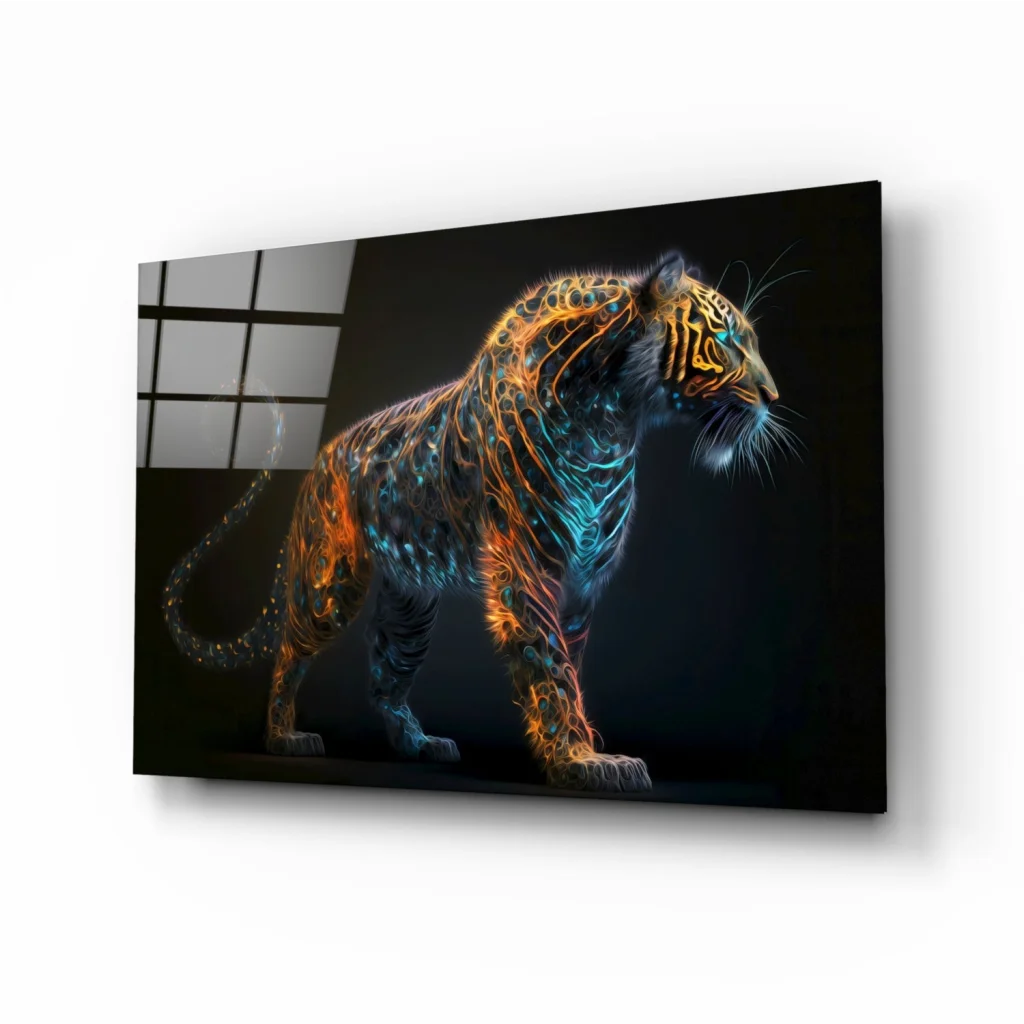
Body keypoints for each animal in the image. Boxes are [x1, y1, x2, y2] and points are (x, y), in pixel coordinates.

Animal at [162, 251, 793, 792]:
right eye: (727, 343)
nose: (773, 395)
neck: (614, 421)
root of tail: (320, 458)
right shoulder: (529, 563)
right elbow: (549, 665)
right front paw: (582, 761)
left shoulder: (582, 578)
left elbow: (570, 663)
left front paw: (582, 748)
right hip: (329, 583)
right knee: (291, 649)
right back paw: (284, 735)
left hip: (411, 608)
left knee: (384, 679)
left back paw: (421, 744)